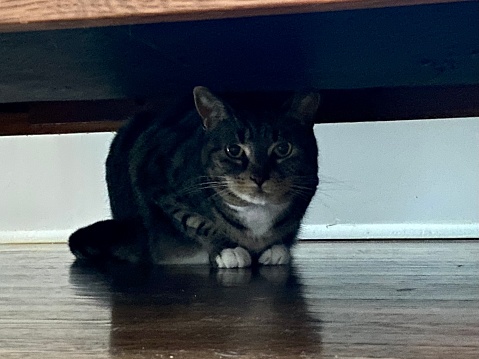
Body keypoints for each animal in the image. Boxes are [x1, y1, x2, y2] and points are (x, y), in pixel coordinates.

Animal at [68, 86, 318, 268]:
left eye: (283, 149)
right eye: (234, 150)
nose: (259, 177)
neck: (256, 213)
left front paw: (275, 248)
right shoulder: (156, 184)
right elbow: (196, 222)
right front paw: (228, 249)